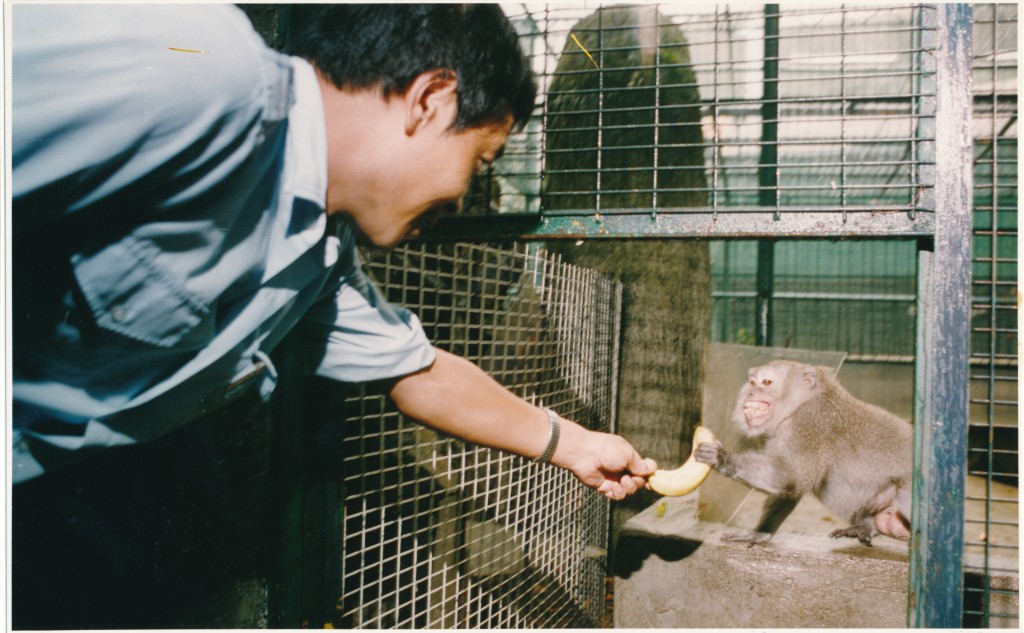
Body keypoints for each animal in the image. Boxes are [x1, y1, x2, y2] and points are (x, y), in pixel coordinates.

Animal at [696, 356, 913, 544]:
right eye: (752, 382)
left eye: (766, 382)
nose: (749, 392)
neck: (795, 408)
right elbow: (789, 487)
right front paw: (760, 533)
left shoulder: (810, 422)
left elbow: (793, 476)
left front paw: (723, 459)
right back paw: (867, 527)